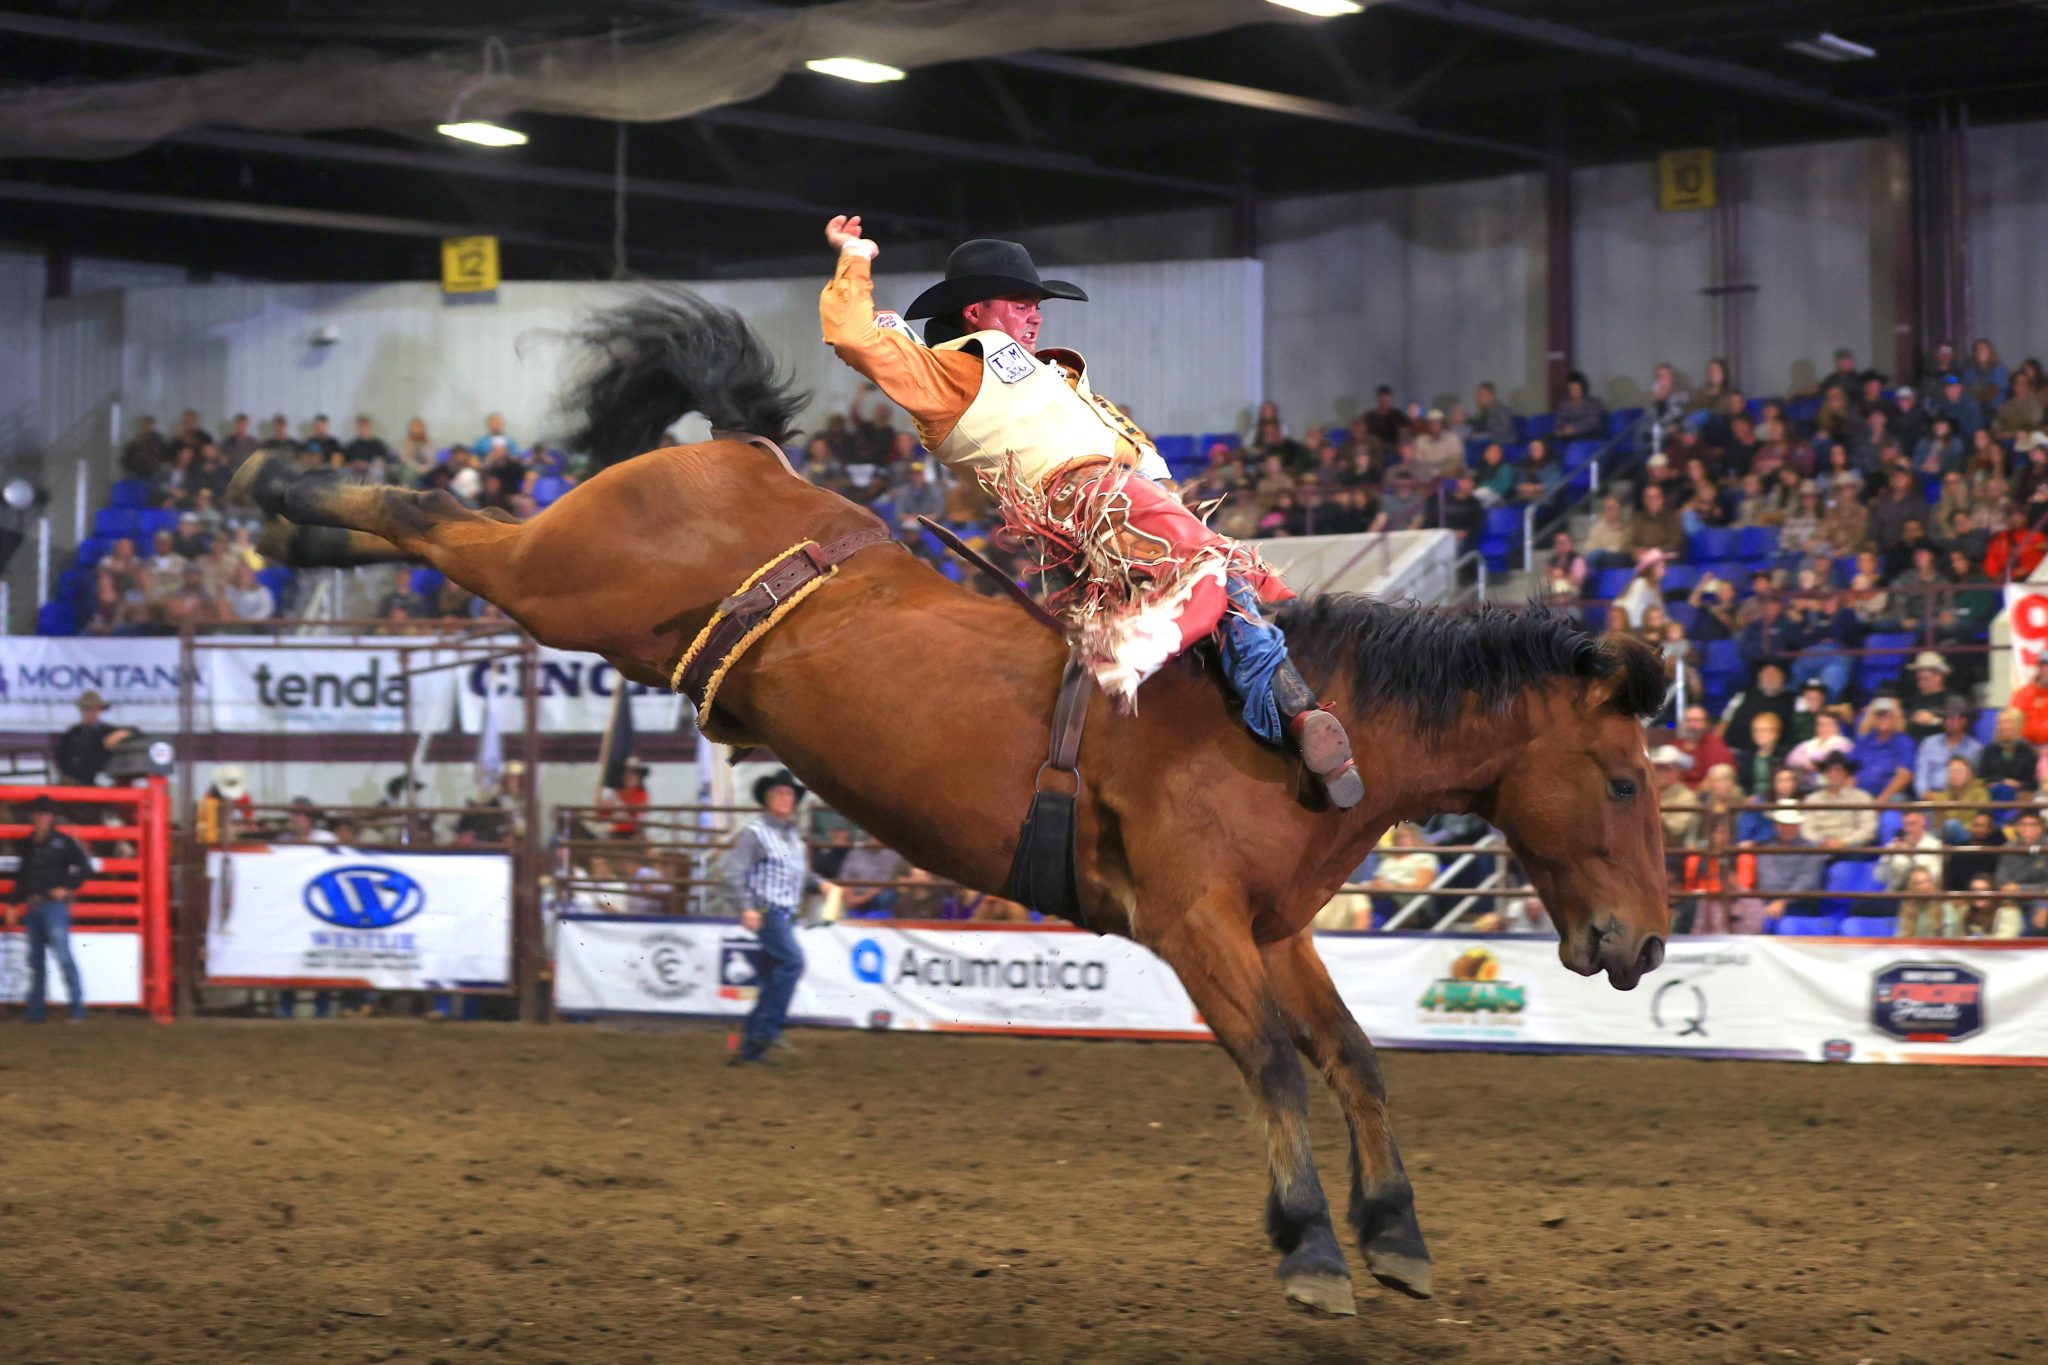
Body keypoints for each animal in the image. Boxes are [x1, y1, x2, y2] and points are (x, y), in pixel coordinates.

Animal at [229, 289, 1671, 1318]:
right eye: (1618, 777)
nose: (1646, 942)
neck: (1292, 724)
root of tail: (737, 453)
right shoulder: (1194, 922)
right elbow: (1268, 1060)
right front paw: (1312, 1246)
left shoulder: (1275, 929)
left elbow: (1351, 1054)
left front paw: (1399, 1235)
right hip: (555, 577)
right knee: (431, 515)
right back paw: (277, 498)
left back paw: (284, 520)